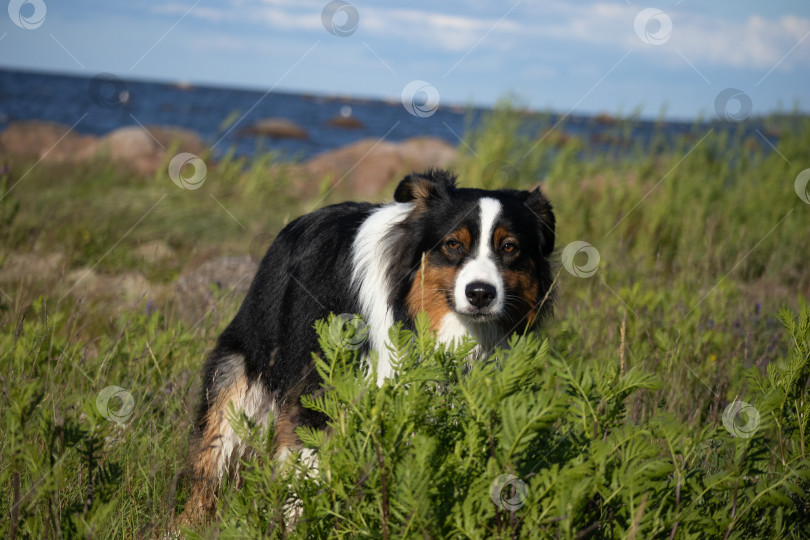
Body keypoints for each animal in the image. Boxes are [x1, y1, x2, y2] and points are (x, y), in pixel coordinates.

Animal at [180, 170, 552, 524]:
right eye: (452, 244)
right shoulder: (320, 387)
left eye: (510, 247)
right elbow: (307, 465)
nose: (480, 294)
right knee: (212, 458)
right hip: (236, 383)